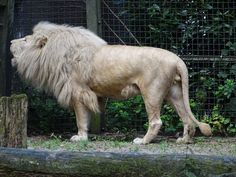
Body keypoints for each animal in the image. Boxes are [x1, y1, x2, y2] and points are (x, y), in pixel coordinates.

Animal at [10, 21, 212, 144]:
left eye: (25, 39)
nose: (11, 41)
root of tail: (177, 59)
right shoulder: (90, 94)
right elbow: (87, 117)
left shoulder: (78, 92)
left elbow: (81, 118)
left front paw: (80, 137)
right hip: (174, 93)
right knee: (187, 119)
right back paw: (184, 140)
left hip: (151, 92)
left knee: (156, 121)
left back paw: (142, 141)